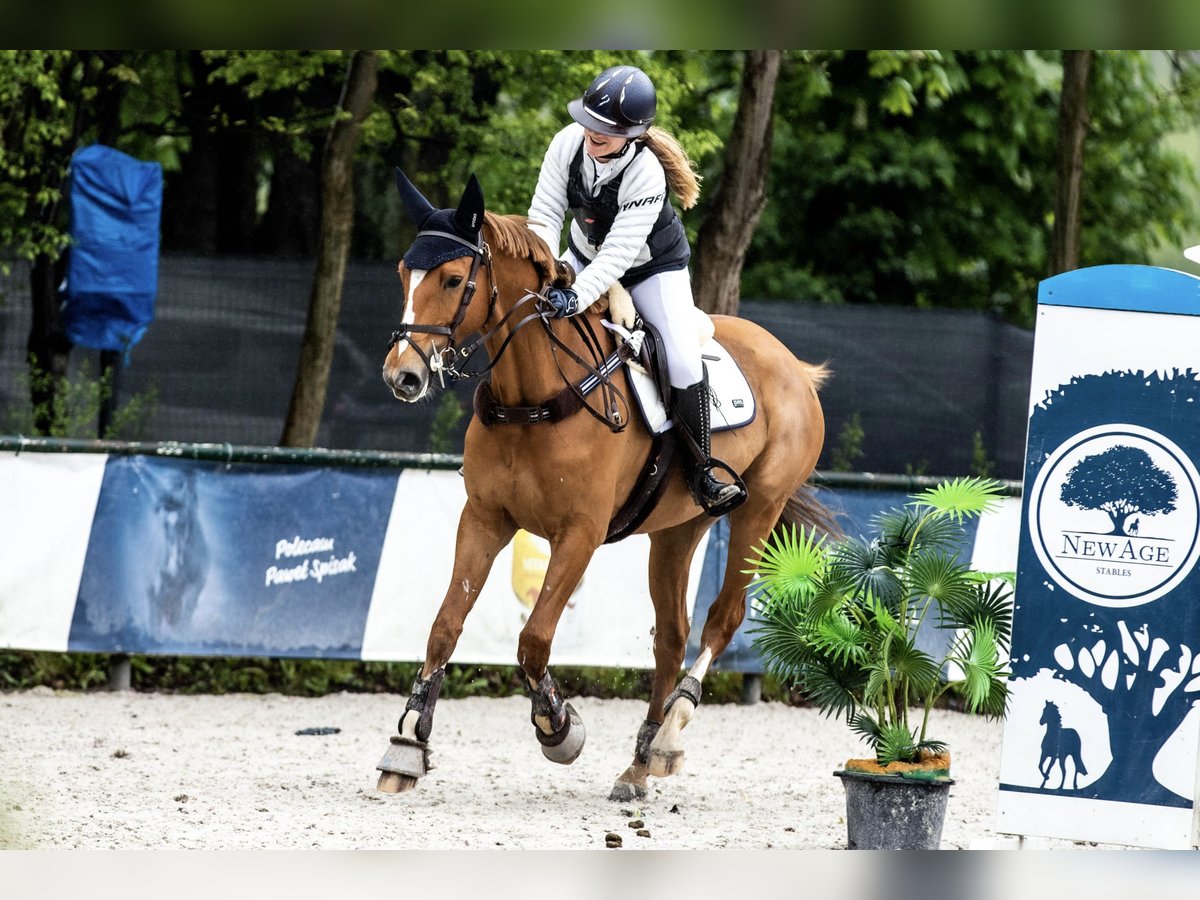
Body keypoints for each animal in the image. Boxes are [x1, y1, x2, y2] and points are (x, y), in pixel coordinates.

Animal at [379, 170, 830, 801]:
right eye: (404, 273)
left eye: (450, 278)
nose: (403, 375)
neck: (534, 397)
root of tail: (794, 366)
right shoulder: (485, 519)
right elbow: (445, 626)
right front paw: (407, 744)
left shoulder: (580, 534)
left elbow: (534, 639)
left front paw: (558, 728)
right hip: (676, 530)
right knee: (671, 635)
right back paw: (639, 762)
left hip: (759, 510)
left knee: (722, 618)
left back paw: (670, 735)